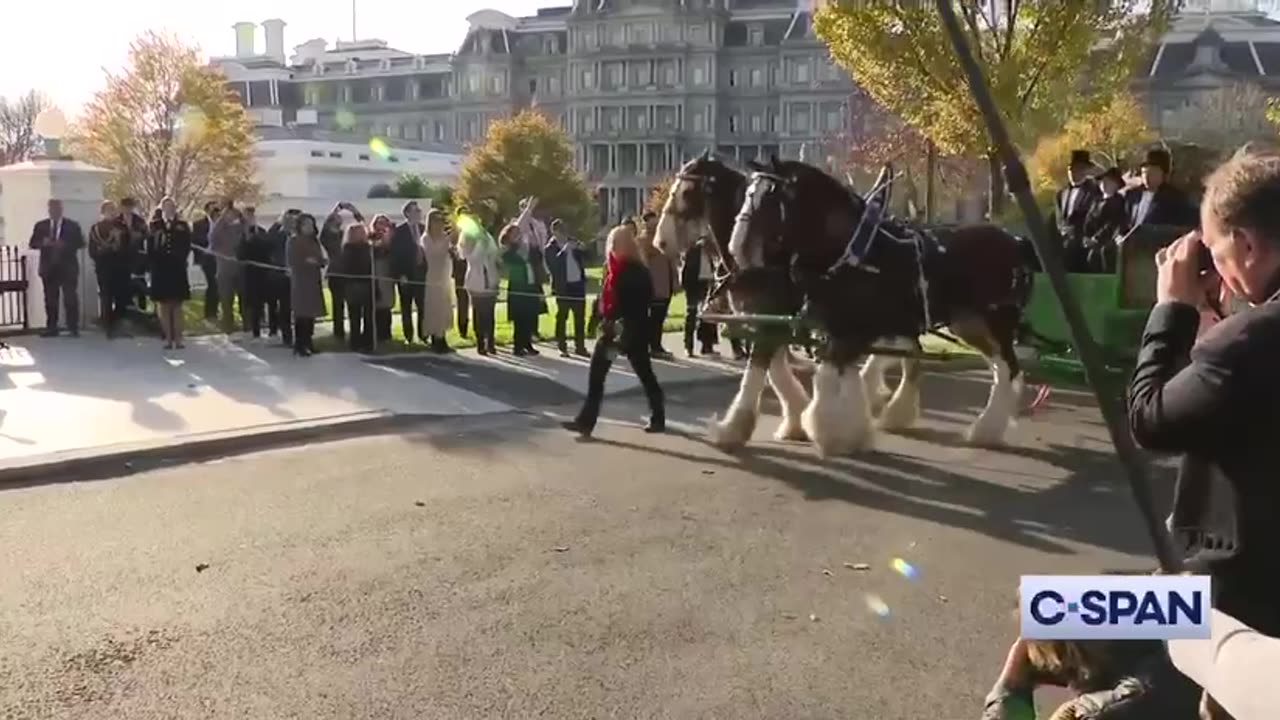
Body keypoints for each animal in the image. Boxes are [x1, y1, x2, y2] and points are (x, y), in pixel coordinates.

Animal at [732, 159, 1029, 456]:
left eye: (770, 195)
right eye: (747, 193)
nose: (737, 248)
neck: (854, 253)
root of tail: (1015, 241)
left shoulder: (855, 331)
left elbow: (829, 376)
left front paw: (832, 433)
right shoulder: (843, 329)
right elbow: (841, 376)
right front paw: (852, 431)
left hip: (997, 320)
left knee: (1008, 369)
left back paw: (986, 430)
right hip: (969, 323)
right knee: (999, 368)